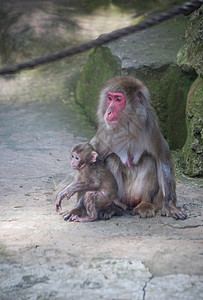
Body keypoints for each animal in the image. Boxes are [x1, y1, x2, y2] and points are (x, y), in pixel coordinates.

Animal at [90, 76, 187, 219]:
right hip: (121, 195)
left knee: (149, 160)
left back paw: (144, 204)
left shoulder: (151, 126)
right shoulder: (105, 132)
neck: (128, 125)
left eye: (118, 99)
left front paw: (169, 205)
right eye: (110, 98)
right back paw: (112, 207)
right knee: (112, 160)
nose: (108, 112)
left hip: (143, 195)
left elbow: (162, 158)